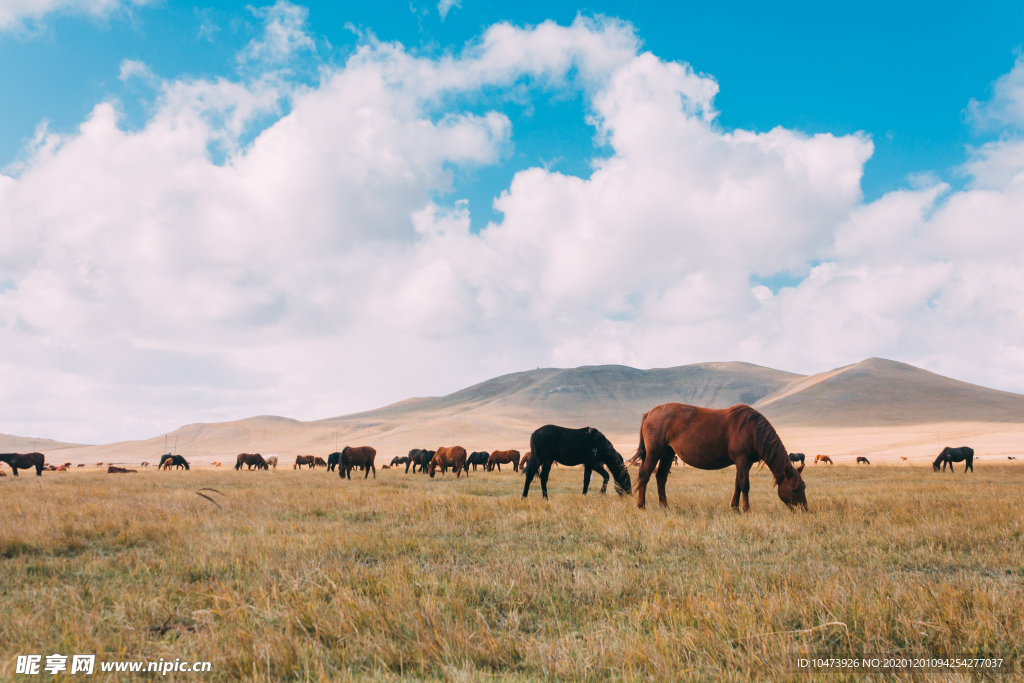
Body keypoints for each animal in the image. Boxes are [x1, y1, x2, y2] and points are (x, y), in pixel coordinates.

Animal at [630, 403, 806, 509]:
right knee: (644, 474)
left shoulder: (744, 463)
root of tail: (650, 413)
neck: (753, 430)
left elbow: (737, 484)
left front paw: (735, 507)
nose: (805, 509)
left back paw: (664, 506)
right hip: (655, 452)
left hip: (667, 452)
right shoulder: (742, 460)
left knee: (661, 476)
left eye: (804, 487)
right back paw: (641, 505)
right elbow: (744, 485)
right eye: (794, 488)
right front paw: (746, 509)